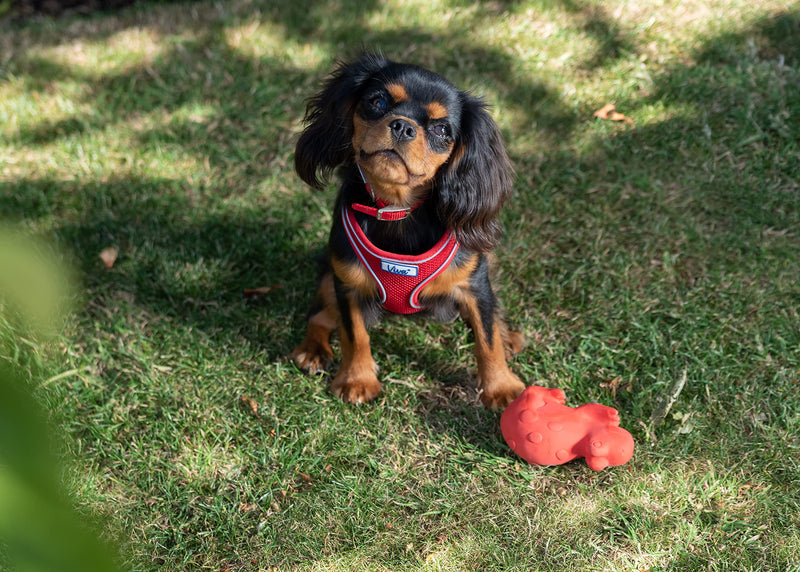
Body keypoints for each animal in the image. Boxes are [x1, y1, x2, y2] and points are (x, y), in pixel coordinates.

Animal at [290, 53, 524, 408]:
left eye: (442, 129)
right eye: (377, 101)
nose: (402, 125)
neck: (397, 209)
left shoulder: (475, 284)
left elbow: (487, 338)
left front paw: (501, 387)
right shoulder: (347, 283)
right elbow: (353, 334)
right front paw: (357, 380)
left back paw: (508, 336)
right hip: (329, 276)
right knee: (319, 316)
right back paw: (313, 350)